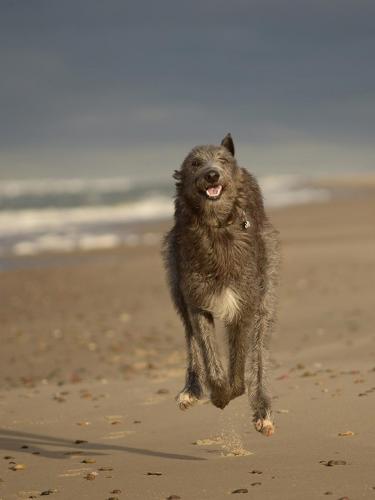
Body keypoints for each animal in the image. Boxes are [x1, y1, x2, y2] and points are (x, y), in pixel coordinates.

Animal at [163, 135, 280, 436]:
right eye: (195, 163)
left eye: (223, 160)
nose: (212, 174)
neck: (216, 227)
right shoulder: (198, 300)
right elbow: (209, 355)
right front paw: (218, 395)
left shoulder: (243, 303)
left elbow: (238, 368)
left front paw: (232, 392)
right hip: (176, 282)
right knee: (191, 339)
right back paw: (191, 390)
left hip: (266, 286)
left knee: (260, 348)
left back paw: (263, 412)